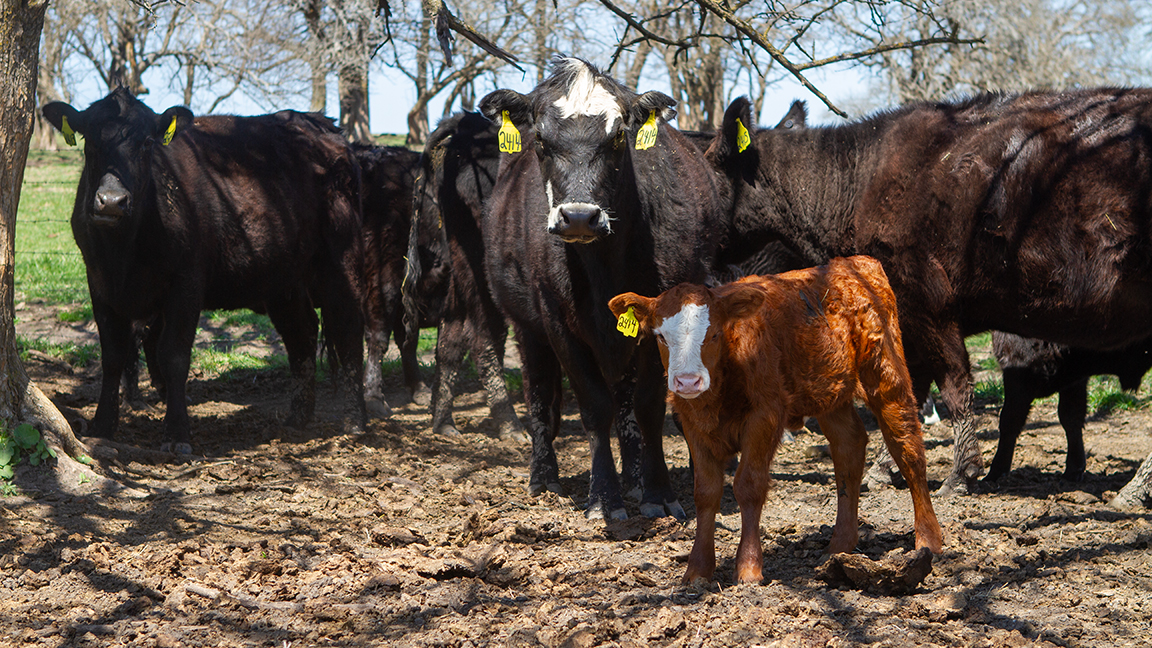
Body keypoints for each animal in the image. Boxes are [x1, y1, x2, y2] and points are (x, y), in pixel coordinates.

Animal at [42, 88, 367, 453]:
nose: (111, 201)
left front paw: (177, 434)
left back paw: (355, 422)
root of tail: (323, 125)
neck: (122, 251)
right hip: (284, 277)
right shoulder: (99, 283)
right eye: (90, 139)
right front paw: (102, 426)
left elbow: (174, 355)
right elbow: (112, 355)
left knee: (349, 327)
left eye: (146, 143)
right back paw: (297, 418)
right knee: (302, 335)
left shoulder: (187, 282)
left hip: (341, 255)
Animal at [477, 57, 728, 519]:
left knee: (625, 400)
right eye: (540, 139)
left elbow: (647, 405)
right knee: (539, 394)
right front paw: (603, 496)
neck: (602, 268)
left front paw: (657, 491)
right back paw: (544, 476)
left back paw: (634, 477)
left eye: (617, 137)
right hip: (526, 328)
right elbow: (594, 406)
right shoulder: (557, 323)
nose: (578, 216)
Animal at [608, 256, 944, 584]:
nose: (688, 381)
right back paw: (840, 545)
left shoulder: (765, 416)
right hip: (831, 392)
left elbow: (748, 485)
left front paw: (748, 567)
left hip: (886, 374)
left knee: (907, 448)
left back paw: (929, 540)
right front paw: (698, 570)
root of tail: (855, 263)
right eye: (661, 337)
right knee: (849, 447)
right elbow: (705, 492)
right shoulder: (693, 425)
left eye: (715, 333)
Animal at [987, 332, 1152, 482]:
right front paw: (1073, 471)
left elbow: (1009, 421)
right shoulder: (1073, 380)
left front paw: (995, 472)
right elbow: (1071, 418)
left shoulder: (1017, 370)